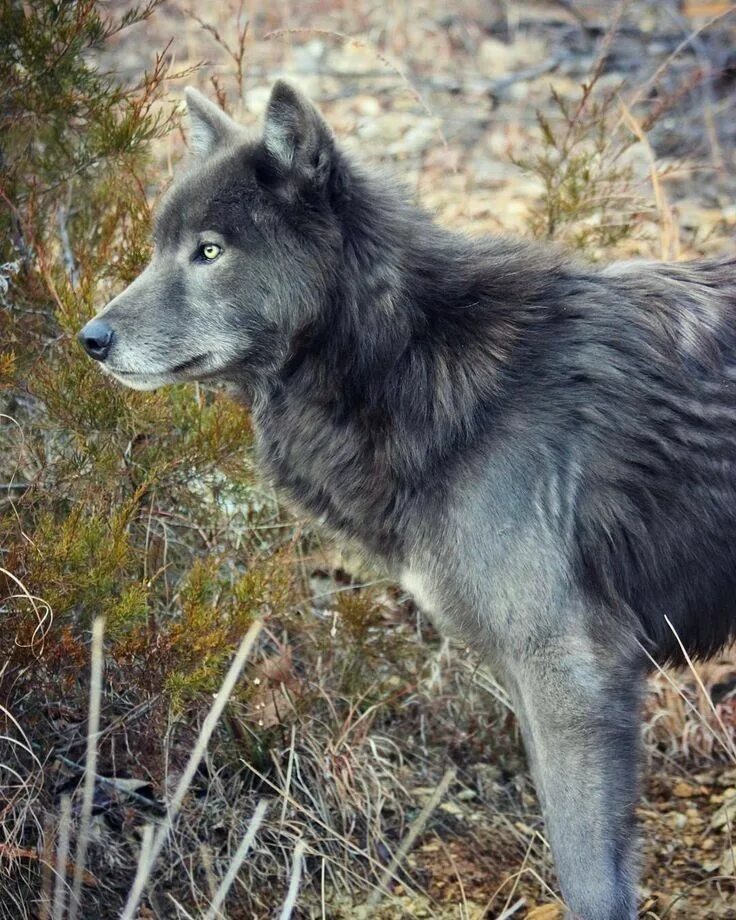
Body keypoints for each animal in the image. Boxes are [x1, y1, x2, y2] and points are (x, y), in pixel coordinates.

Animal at [79, 82, 736, 916]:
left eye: (211, 250)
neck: (415, 359)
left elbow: (591, 879)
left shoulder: (573, 673)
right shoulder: (531, 678)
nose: (91, 338)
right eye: (162, 245)